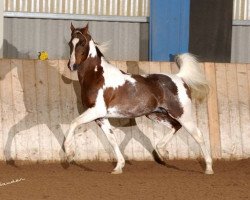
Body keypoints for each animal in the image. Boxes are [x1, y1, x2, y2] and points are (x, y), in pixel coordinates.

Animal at [63, 22, 214, 174]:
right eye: (70, 43)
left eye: (82, 43)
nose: (71, 65)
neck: (97, 76)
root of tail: (179, 77)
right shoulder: (101, 117)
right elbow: (112, 140)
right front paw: (118, 167)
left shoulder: (96, 111)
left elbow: (74, 123)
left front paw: (69, 153)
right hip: (156, 114)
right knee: (175, 126)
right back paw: (163, 152)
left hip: (182, 114)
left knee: (198, 136)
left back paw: (208, 168)